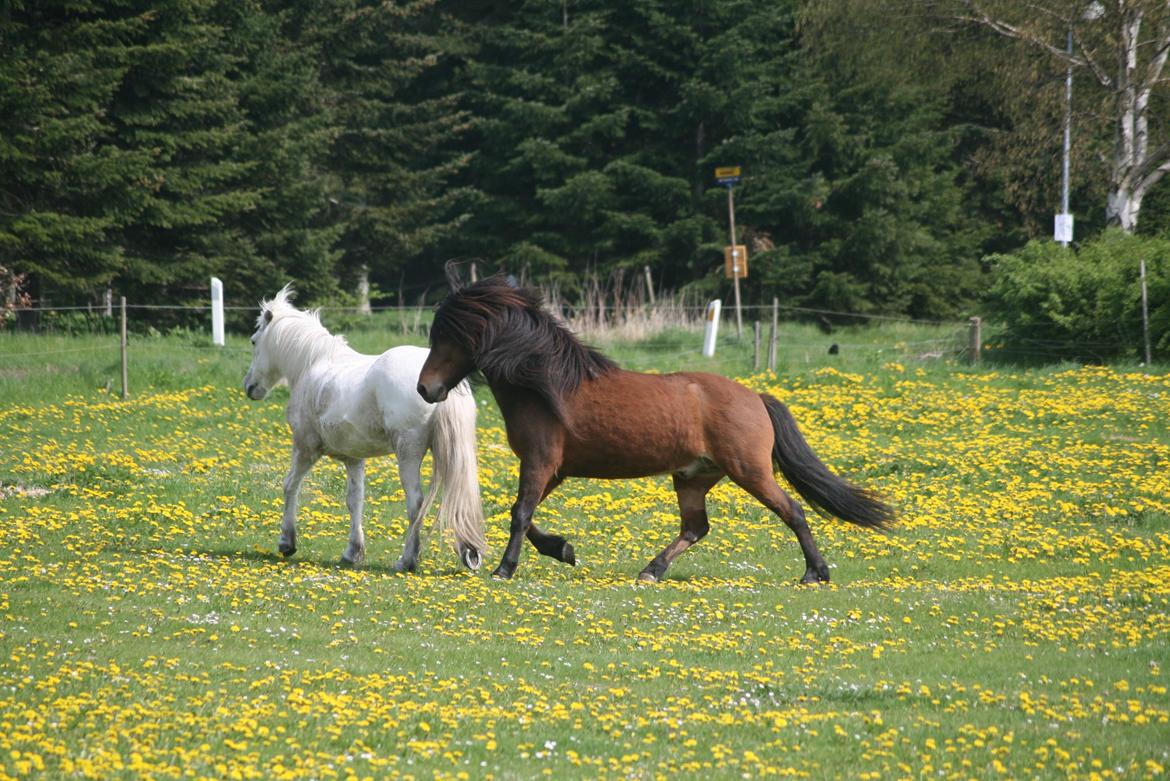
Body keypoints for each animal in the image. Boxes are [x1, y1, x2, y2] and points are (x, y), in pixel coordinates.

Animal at [242, 289, 484, 570]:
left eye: (253, 341)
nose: (249, 387)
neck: (313, 362)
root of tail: (439, 385)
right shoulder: (354, 458)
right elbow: (354, 500)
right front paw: (353, 551)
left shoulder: (306, 448)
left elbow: (290, 485)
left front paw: (286, 542)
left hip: (408, 454)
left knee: (416, 502)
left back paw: (407, 560)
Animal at [421, 273, 893, 579]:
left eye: (447, 336)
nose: (426, 388)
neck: (544, 385)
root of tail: (755, 398)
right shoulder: (553, 469)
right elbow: (524, 512)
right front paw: (564, 549)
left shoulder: (539, 462)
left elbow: (520, 513)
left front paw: (504, 568)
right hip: (693, 477)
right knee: (695, 528)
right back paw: (652, 570)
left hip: (750, 471)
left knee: (792, 511)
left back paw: (816, 573)